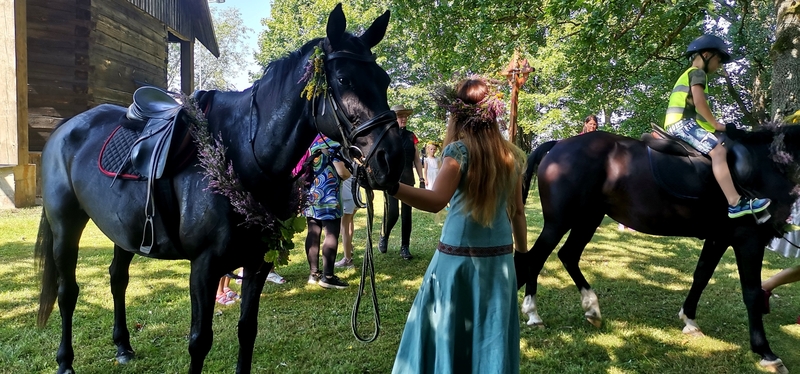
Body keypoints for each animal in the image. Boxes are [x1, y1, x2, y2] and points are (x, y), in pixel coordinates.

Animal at [34, 5, 404, 374]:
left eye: (384, 80)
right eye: (343, 80)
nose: (391, 159)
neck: (243, 151)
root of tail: (65, 129)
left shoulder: (258, 261)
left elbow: (247, 330)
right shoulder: (205, 266)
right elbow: (200, 341)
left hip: (124, 230)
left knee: (117, 279)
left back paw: (123, 345)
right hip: (66, 225)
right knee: (67, 291)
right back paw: (65, 361)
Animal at [516, 127, 796, 372]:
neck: (765, 166)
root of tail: (558, 145)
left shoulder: (718, 238)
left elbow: (701, 276)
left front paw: (689, 320)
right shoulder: (749, 239)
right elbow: (751, 292)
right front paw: (766, 352)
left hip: (588, 218)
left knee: (567, 255)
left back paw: (591, 308)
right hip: (560, 222)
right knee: (536, 259)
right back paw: (534, 313)